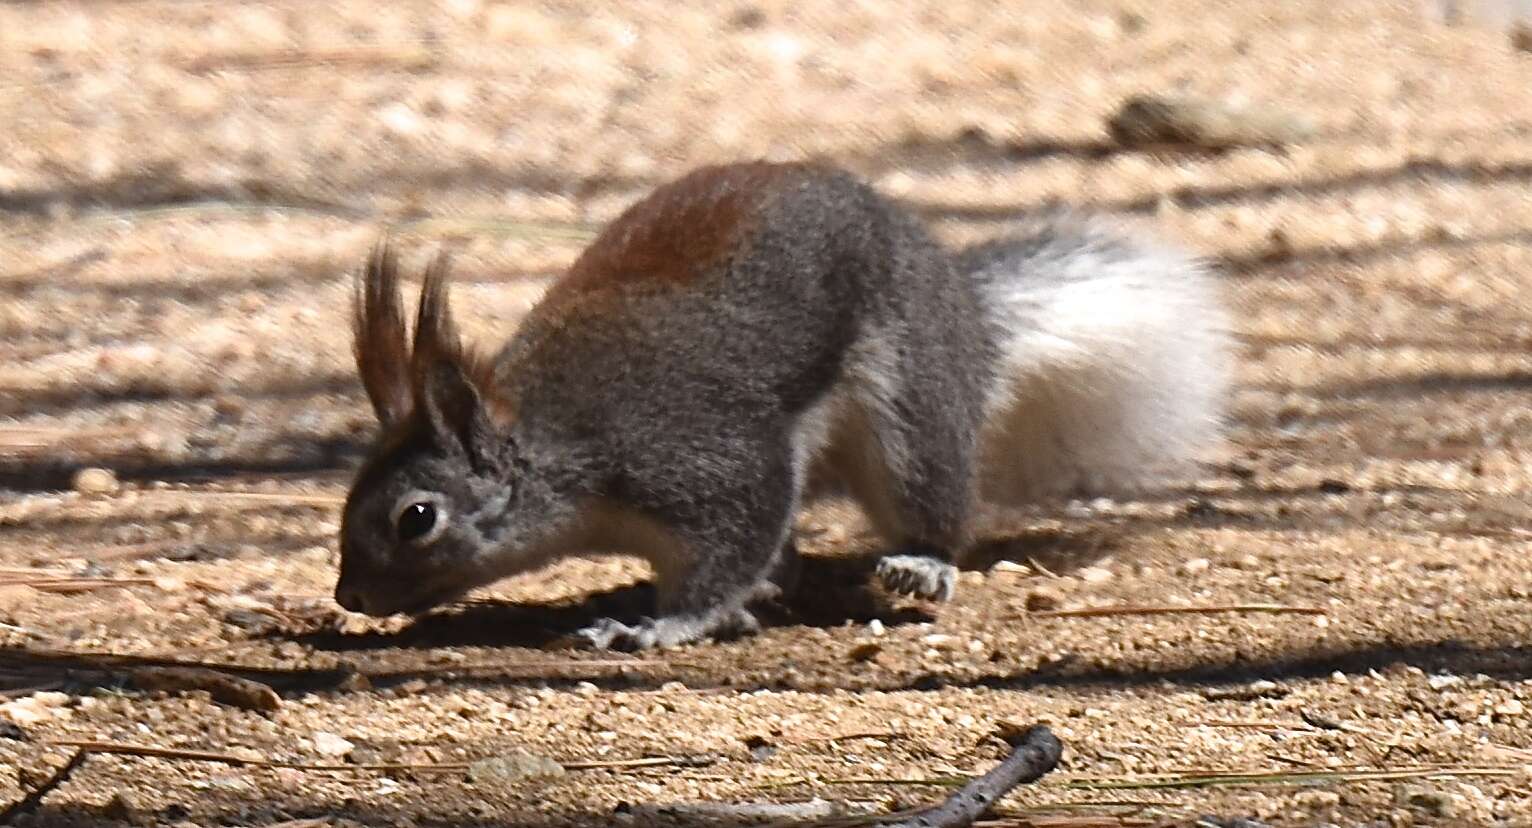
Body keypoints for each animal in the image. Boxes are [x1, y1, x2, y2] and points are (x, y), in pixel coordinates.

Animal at [335, 161, 1231, 650]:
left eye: (416, 518)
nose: (348, 597)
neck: (556, 448)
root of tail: (964, 312)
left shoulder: (703, 461)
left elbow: (732, 539)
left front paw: (662, 626)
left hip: (908, 408)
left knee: (929, 495)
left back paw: (921, 561)